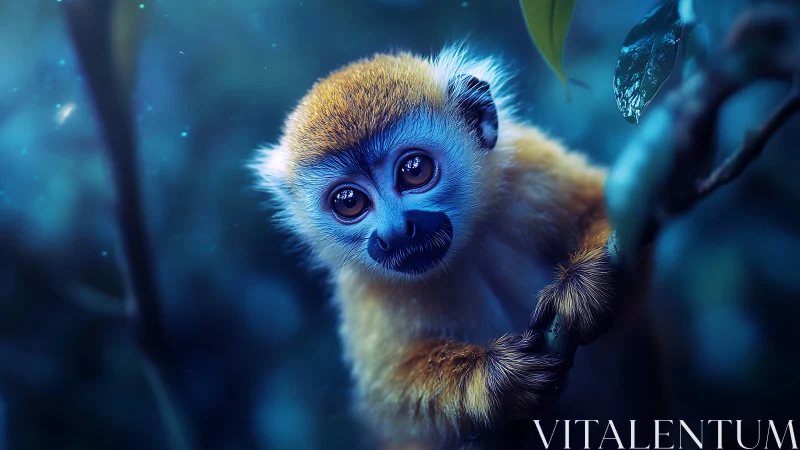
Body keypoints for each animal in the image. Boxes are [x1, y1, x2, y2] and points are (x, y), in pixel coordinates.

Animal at [250, 46, 655, 448]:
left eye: (414, 170)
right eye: (349, 202)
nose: (397, 233)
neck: (467, 246)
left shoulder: (527, 168)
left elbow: (611, 207)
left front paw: (585, 283)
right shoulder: (364, 286)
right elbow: (392, 409)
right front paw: (493, 379)